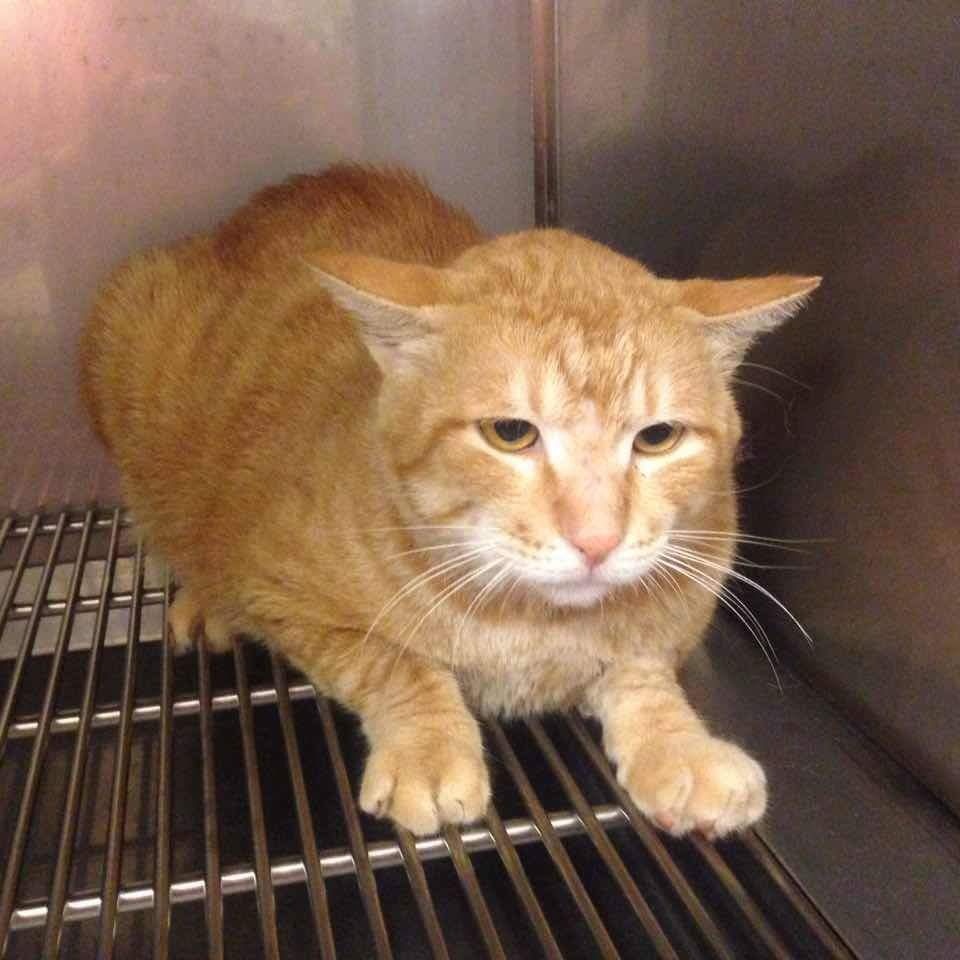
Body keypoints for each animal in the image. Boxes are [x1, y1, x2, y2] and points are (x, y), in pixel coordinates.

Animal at [80, 164, 819, 837]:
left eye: (658, 437)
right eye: (511, 433)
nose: (597, 540)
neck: (531, 626)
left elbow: (641, 669)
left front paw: (678, 744)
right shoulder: (284, 593)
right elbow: (394, 661)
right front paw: (429, 748)